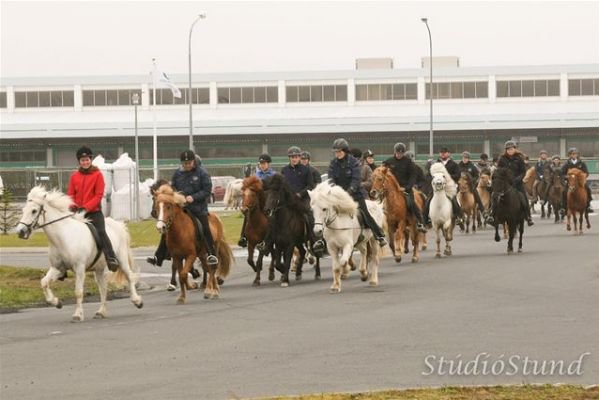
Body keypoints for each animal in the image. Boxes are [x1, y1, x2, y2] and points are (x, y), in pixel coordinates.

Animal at [15, 185, 143, 322]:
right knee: (103, 288)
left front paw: (77, 314)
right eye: (23, 210)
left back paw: (137, 301)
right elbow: (44, 282)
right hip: (99, 268)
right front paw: (56, 302)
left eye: (34, 211)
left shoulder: (80, 268)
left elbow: (78, 291)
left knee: (129, 277)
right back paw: (101, 312)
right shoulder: (57, 268)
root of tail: (118, 224)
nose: (20, 232)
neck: (62, 237)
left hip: (121, 260)